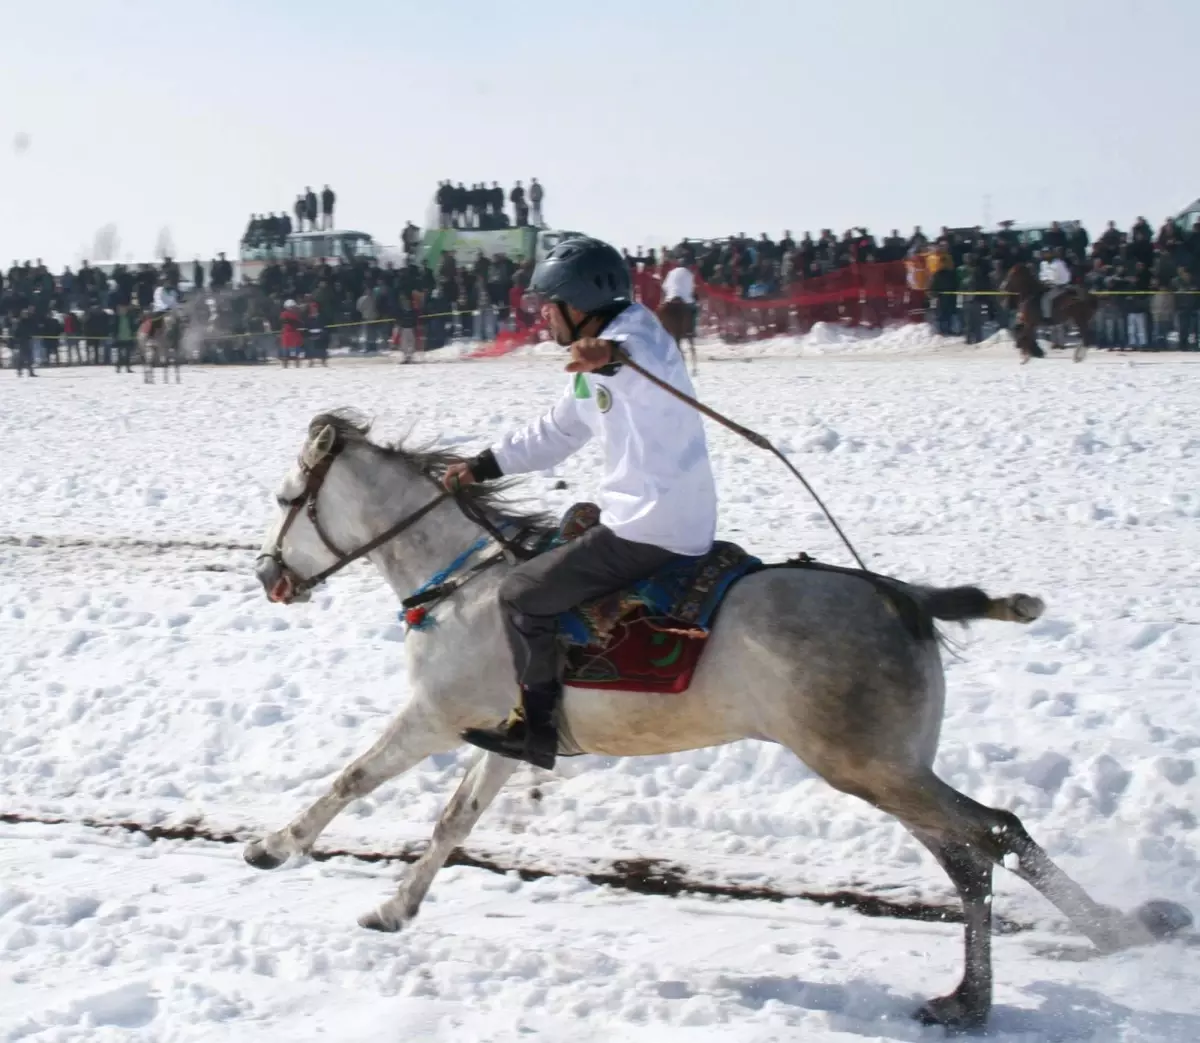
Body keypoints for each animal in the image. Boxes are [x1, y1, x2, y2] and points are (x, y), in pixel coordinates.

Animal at [243, 408, 1190, 1032]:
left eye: (288, 497)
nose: (267, 575)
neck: (465, 582)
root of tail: (904, 596)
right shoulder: (506, 739)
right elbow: (452, 822)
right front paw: (394, 907)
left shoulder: (435, 714)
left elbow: (354, 777)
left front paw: (274, 844)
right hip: (893, 767)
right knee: (979, 850)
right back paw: (1081, 944)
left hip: (869, 766)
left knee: (989, 834)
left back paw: (994, 991)